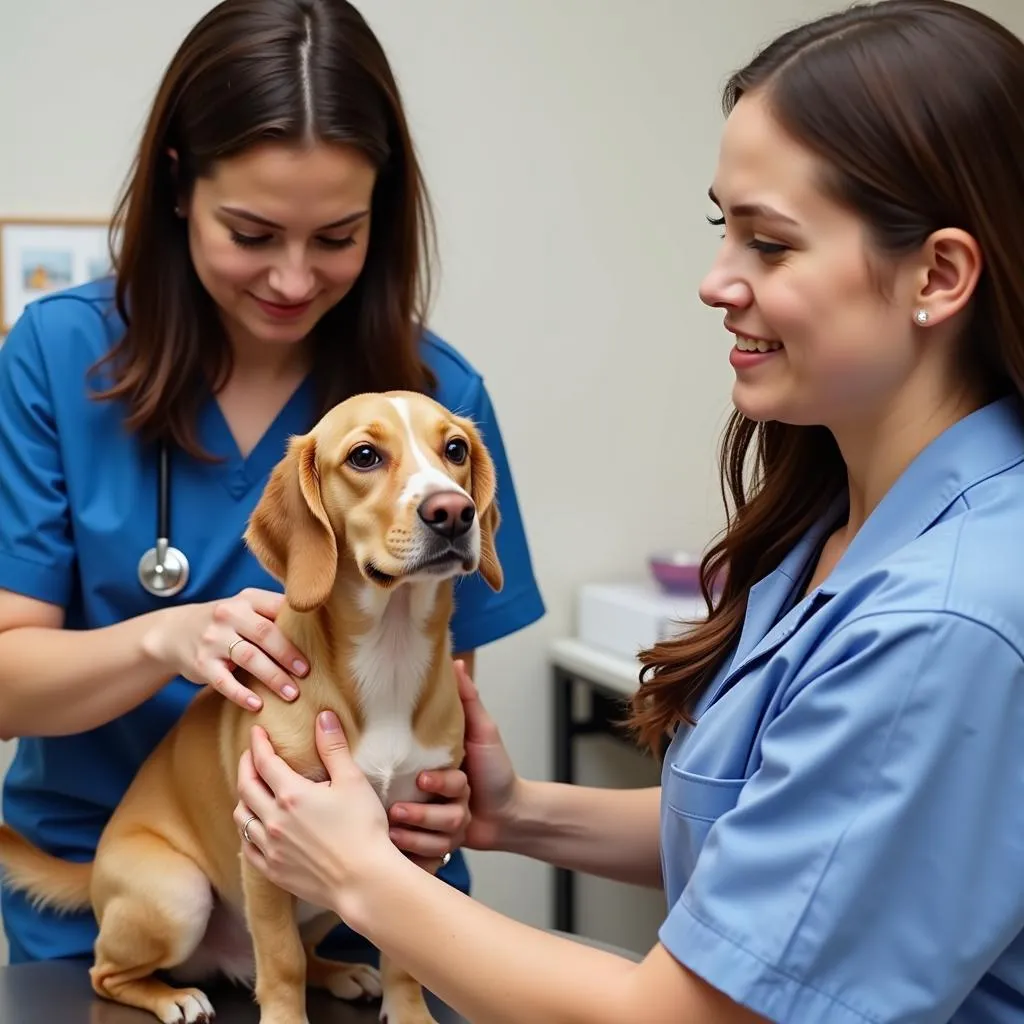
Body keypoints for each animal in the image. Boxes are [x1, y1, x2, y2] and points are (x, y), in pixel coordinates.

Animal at [0, 391, 503, 1024]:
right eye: (364, 456)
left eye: (455, 449)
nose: (454, 512)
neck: (389, 652)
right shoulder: (266, 843)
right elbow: (281, 960)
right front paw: (285, 1017)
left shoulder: (412, 847)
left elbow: (405, 952)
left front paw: (409, 1011)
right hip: (177, 892)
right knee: (107, 973)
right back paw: (174, 998)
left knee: (302, 951)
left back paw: (338, 972)